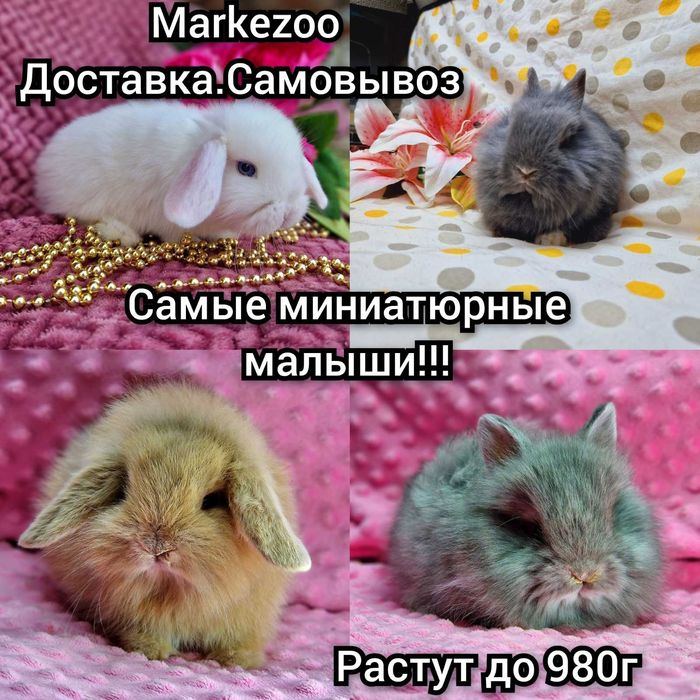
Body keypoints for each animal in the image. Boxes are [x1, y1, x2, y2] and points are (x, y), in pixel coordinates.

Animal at [18, 382, 311, 668]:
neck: (170, 592)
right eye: (122, 492)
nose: (157, 547)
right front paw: (150, 650)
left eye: (212, 500)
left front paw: (238, 662)